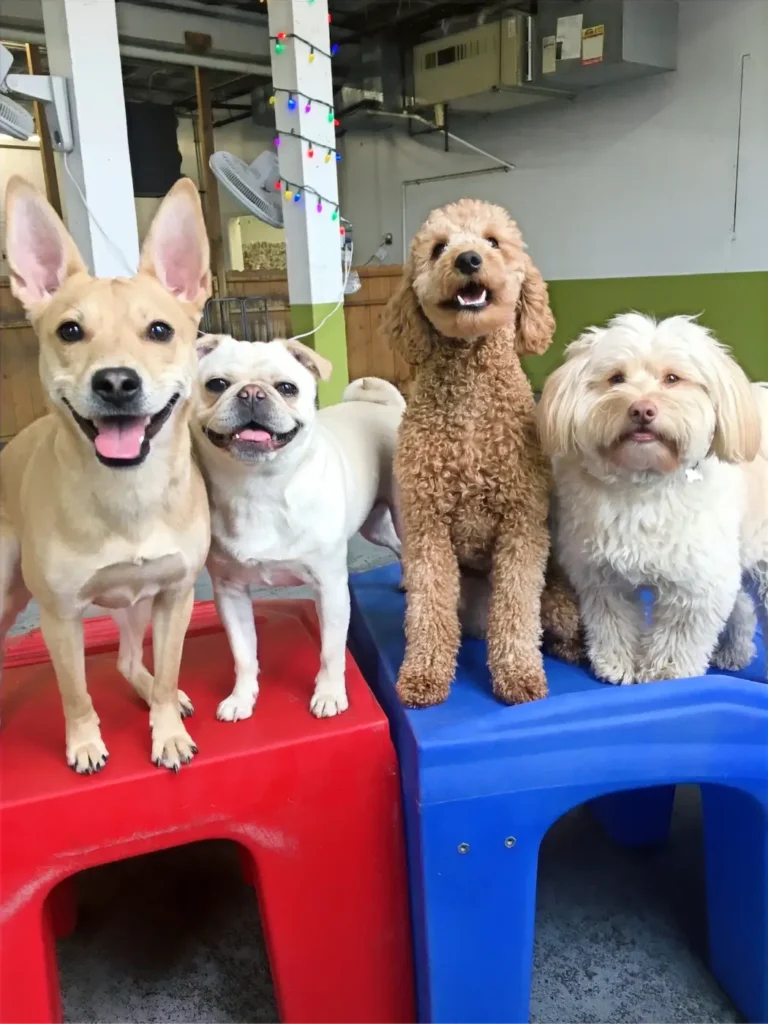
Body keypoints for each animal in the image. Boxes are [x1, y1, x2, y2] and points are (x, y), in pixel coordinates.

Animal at [0, 177, 211, 772]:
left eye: (160, 330)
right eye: (70, 330)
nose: (116, 381)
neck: (128, 492)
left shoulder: (174, 596)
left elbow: (167, 669)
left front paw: (165, 731)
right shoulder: (60, 616)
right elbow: (75, 693)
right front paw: (85, 741)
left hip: (136, 602)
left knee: (126, 661)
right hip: (6, 592)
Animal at [192, 335, 404, 720]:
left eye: (287, 388)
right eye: (216, 384)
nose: (251, 393)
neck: (257, 486)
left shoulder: (330, 588)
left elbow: (331, 651)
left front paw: (329, 694)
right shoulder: (230, 593)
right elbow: (243, 653)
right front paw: (242, 697)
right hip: (374, 528)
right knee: (394, 544)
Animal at [380, 198, 558, 707]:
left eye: (494, 241)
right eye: (439, 248)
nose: (468, 259)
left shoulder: (522, 523)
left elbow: (516, 608)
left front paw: (518, 673)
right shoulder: (427, 526)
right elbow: (429, 610)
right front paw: (424, 674)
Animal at [538, 312, 767, 684]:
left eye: (672, 378)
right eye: (616, 378)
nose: (642, 409)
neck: (644, 483)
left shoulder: (698, 580)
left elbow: (679, 633)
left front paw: (666, 672)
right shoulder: (601, 574)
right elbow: (612, 620)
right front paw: (617, 663)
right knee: (743, 606)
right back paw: (734, 652)